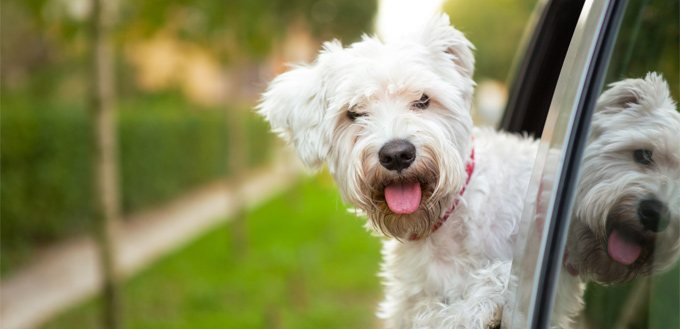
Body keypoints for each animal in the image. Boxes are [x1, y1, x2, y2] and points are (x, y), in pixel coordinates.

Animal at [258, 15, 536, 328]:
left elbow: (494, 278)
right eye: (354, 112)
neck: (441, 222)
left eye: (423, 99)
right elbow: (424, 312)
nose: (397, 155)